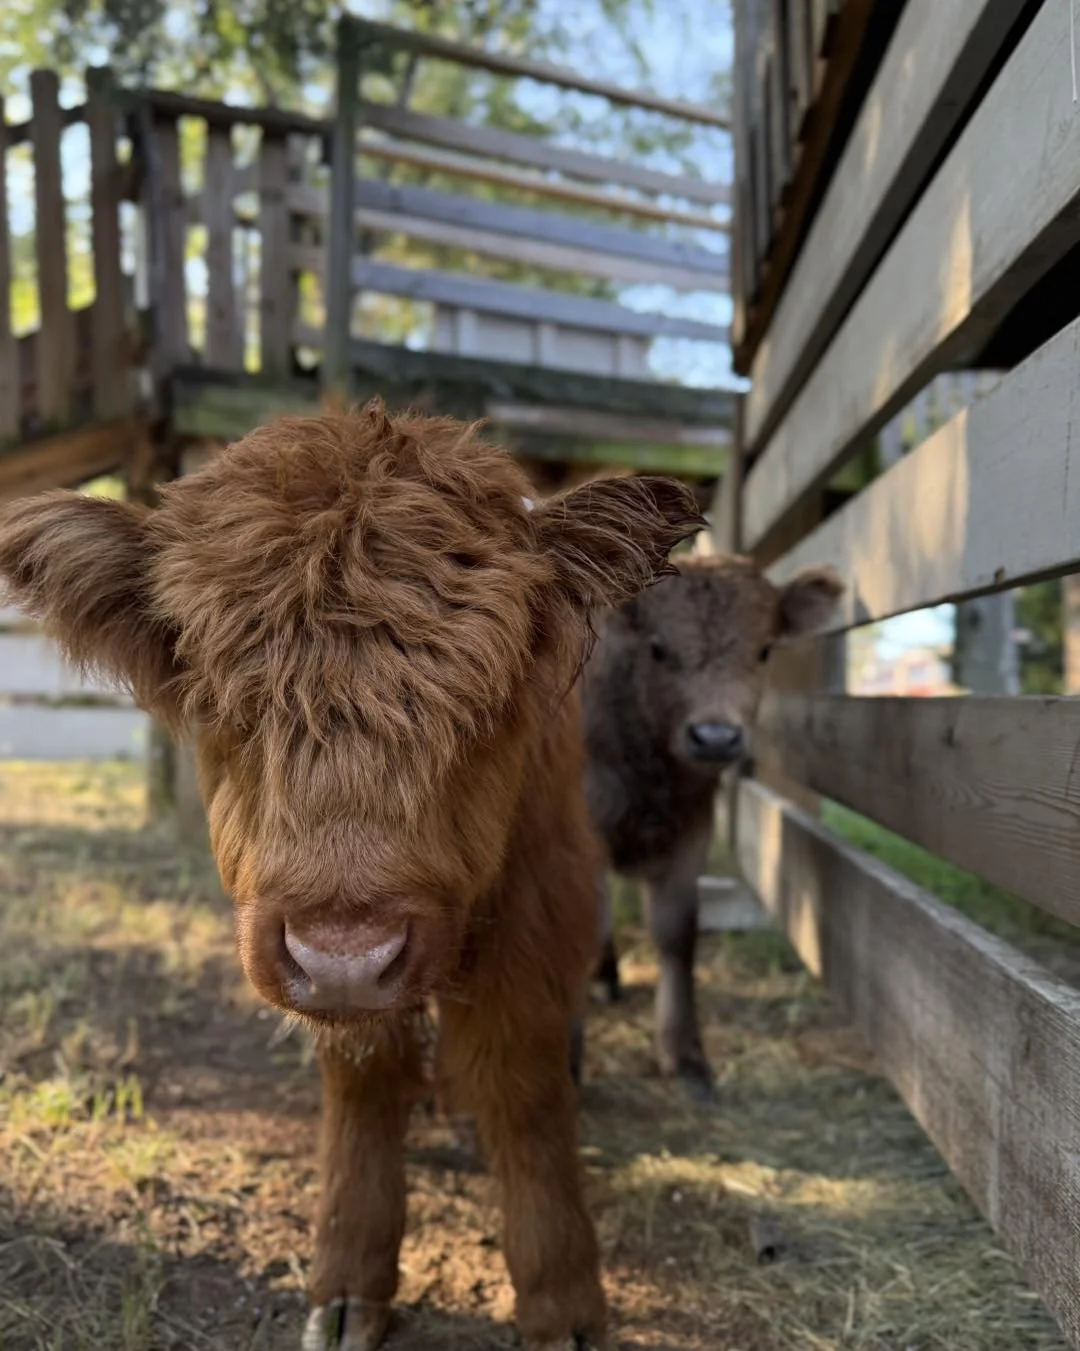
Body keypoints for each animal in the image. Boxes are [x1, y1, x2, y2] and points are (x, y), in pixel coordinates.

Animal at [0, 402, 704, 1351]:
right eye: (223, 706)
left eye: (484, 703)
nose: (343, 954)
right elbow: (364, 1078)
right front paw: (347, 1283)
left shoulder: (542, 900)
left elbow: (522, 1083)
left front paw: (563, 1302)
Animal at [582, 554, 843, 1099]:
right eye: (657, 648)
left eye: (763, 649)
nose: (716, 736)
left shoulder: (692, 829)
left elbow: (677, 934)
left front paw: (684, 1055)